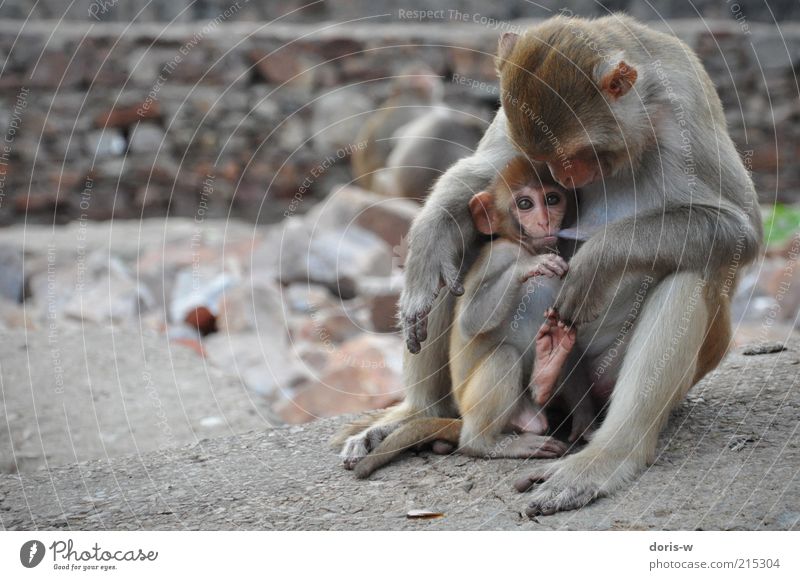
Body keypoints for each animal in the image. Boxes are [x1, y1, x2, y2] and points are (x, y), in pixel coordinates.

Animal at [354, 156, 596, 478]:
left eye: (552, 199)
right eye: (525, 204)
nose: (545, 221)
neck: (522, 244)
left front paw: (585, 421)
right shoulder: (500, 253)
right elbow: (471, 319)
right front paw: (530, 266)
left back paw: (548, 369)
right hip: (475, 406)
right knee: (503, 357)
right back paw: (483, 443)